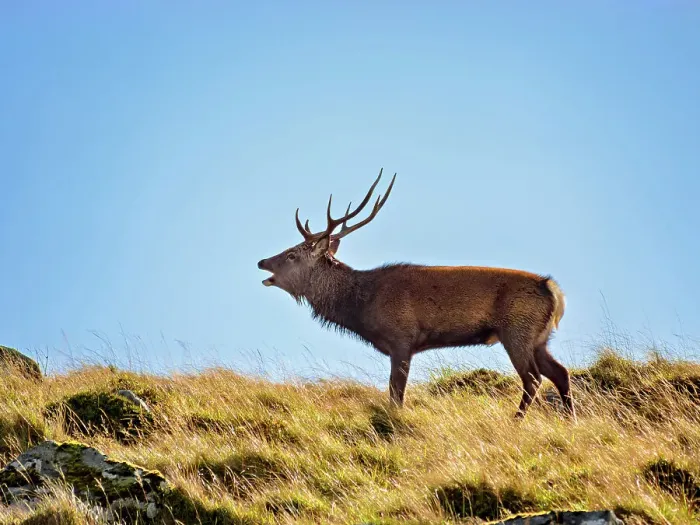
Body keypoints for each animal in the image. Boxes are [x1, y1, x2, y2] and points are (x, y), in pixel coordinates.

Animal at [257, 169, 575, 420]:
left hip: (516, 330)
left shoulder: (401, 339)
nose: (262, 262)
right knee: (560, 372)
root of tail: (552, 289)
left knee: (532, 378)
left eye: (292, 254)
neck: (362, 305)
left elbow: (396, 394)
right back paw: (570, 420)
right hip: (539, 338)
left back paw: (515, 420)